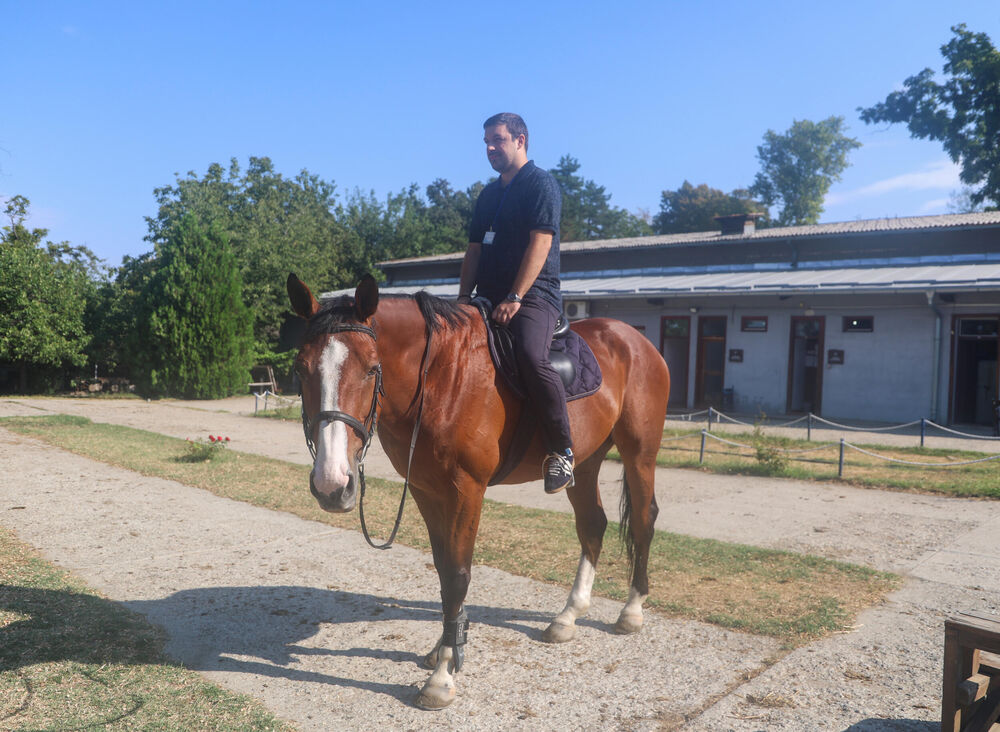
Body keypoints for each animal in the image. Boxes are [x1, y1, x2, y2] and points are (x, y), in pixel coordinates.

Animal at [286, 274, 668, 708]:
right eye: (300, 369)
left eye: (371, 369)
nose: (332, 484)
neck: (440, 378)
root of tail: (633, 338)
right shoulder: (426, 489)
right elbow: (443, 570)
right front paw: (446, 645)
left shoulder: (466, 490)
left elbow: (457, 575)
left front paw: (442, 674)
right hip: (586, 463)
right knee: (593, 525)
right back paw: (568, 616)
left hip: (640, 453)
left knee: (642, 520)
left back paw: (632, 610)